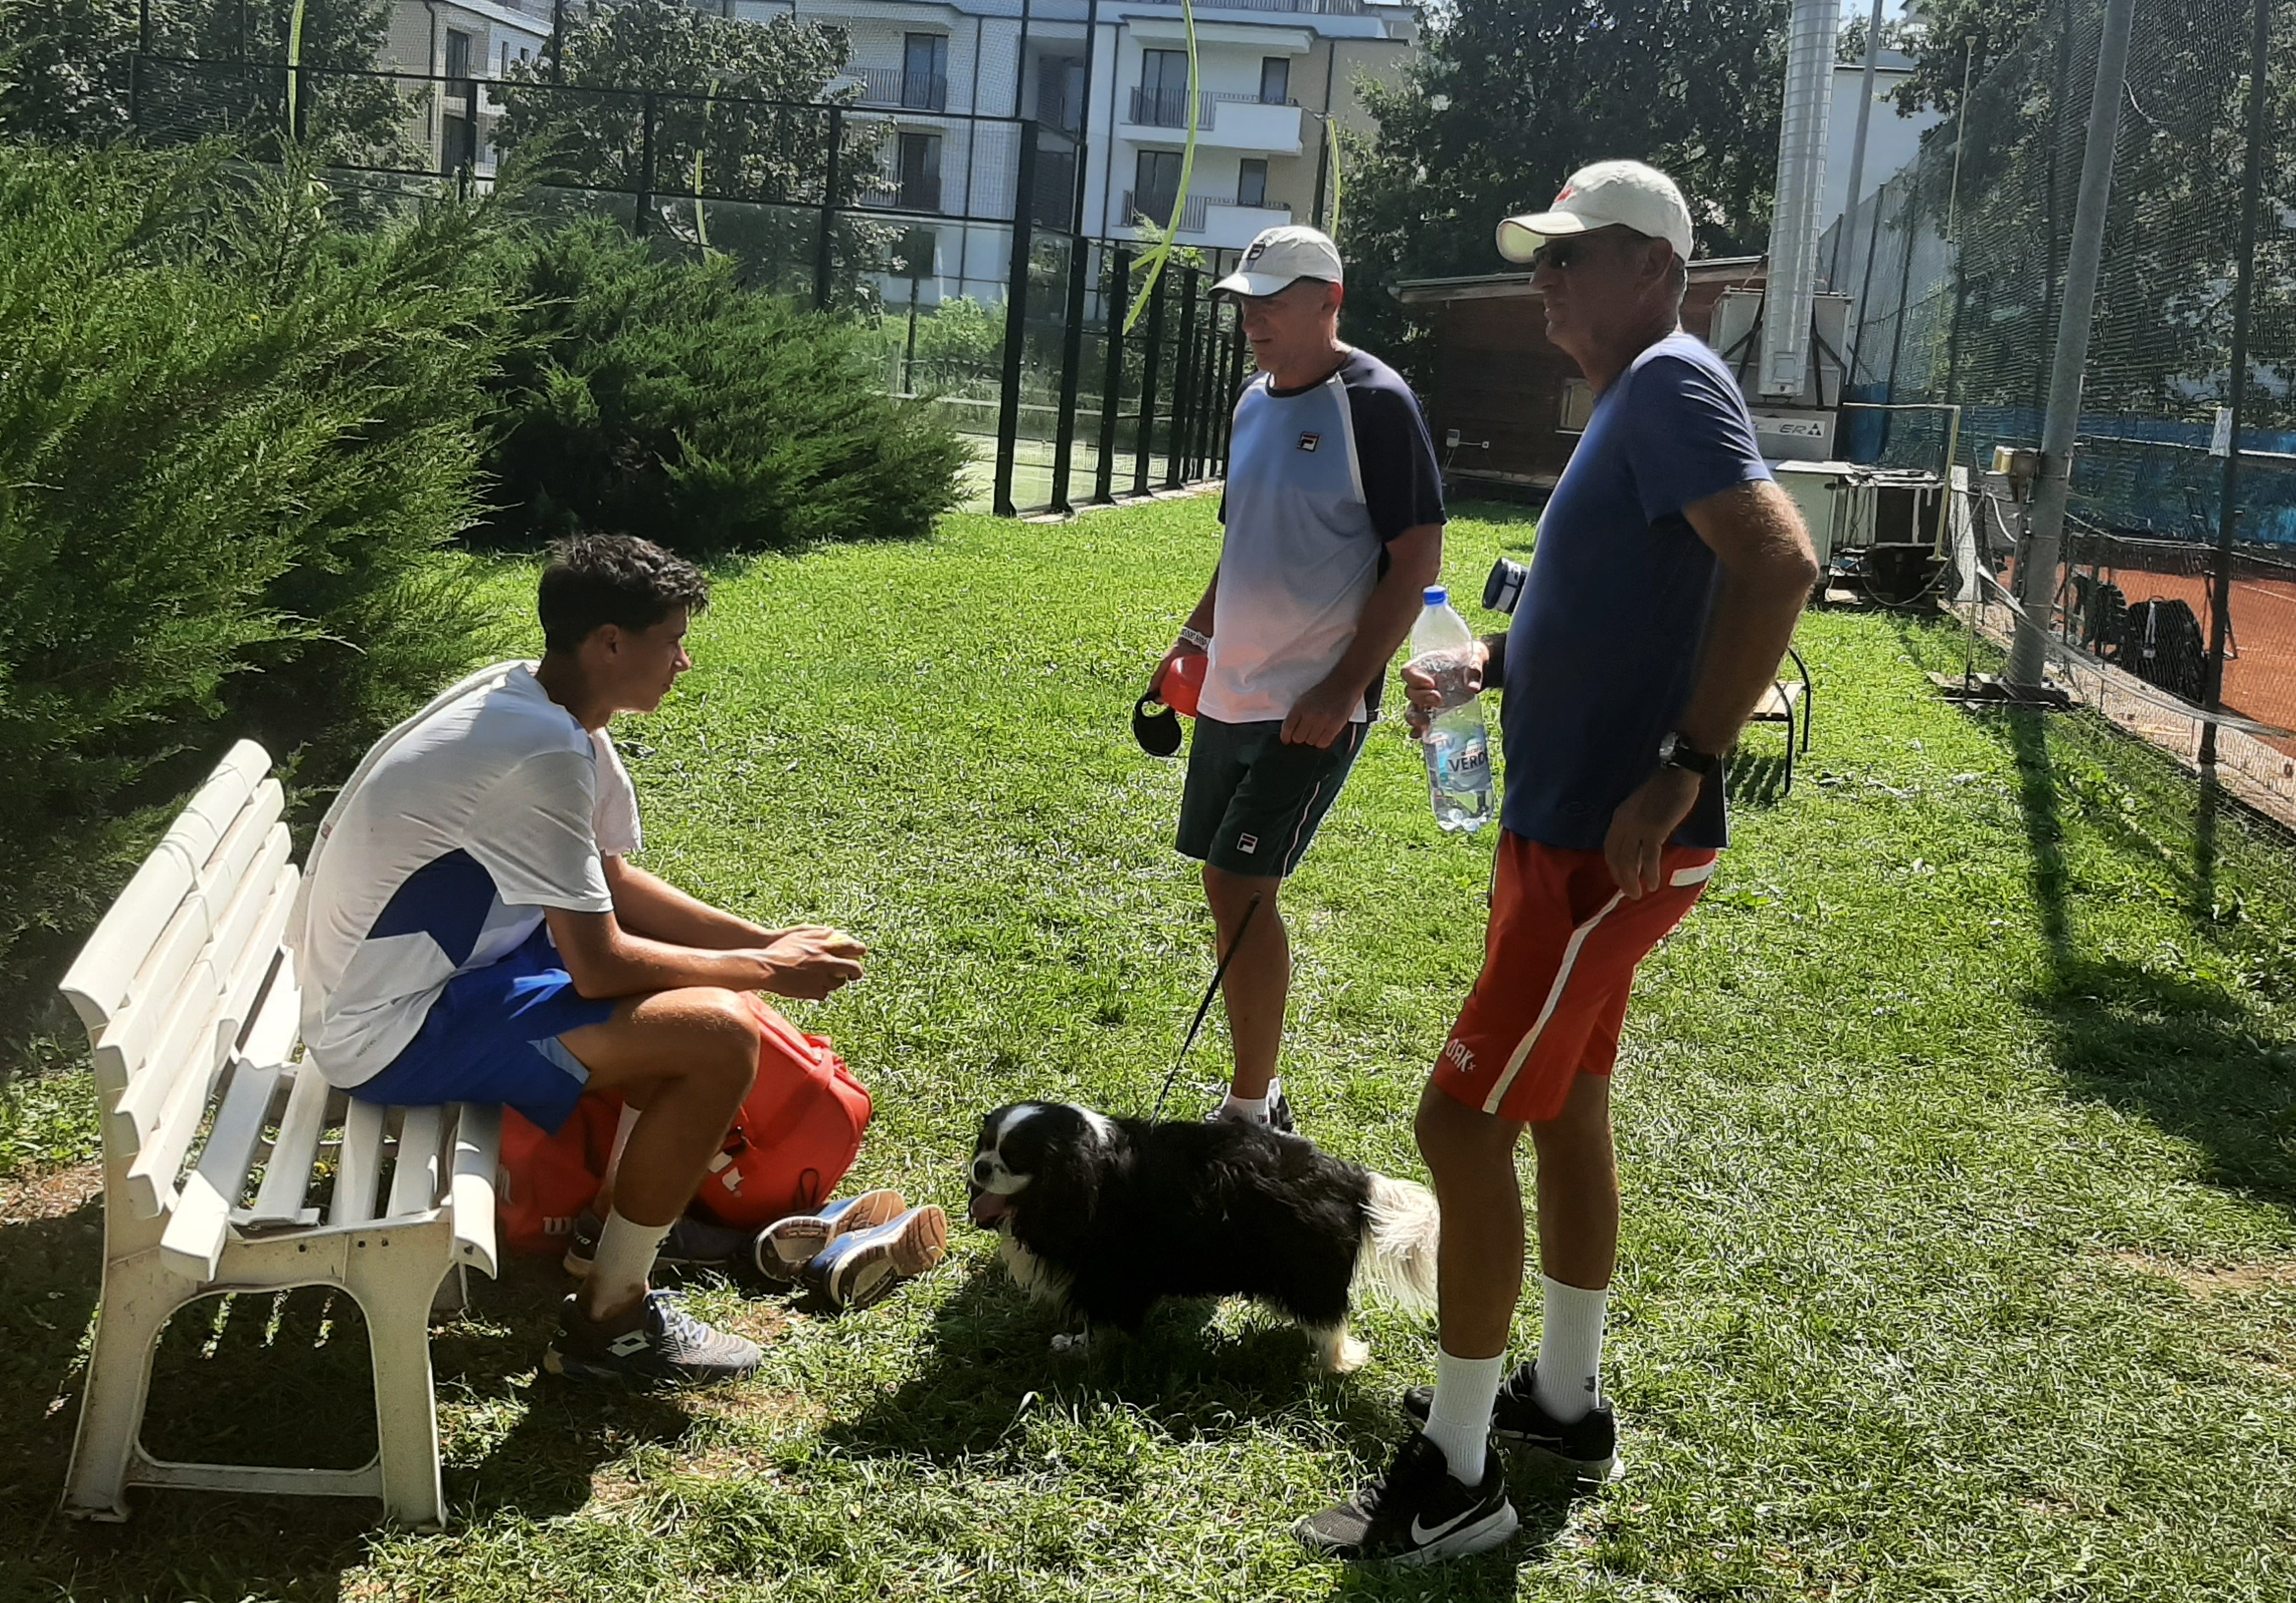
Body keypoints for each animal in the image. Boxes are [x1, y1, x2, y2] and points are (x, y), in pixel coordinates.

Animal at [964, 1098, 1433, 1378]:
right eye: (985, 1145)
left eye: (1015, 1158)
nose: (981, 1167)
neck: (1086, 1169)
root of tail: (1352, 1179)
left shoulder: (1107, 1276)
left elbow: (1099, 1323)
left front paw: (1082, 1351)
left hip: (1306, 1275)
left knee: (1331, 1325)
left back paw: (1331, 1364)